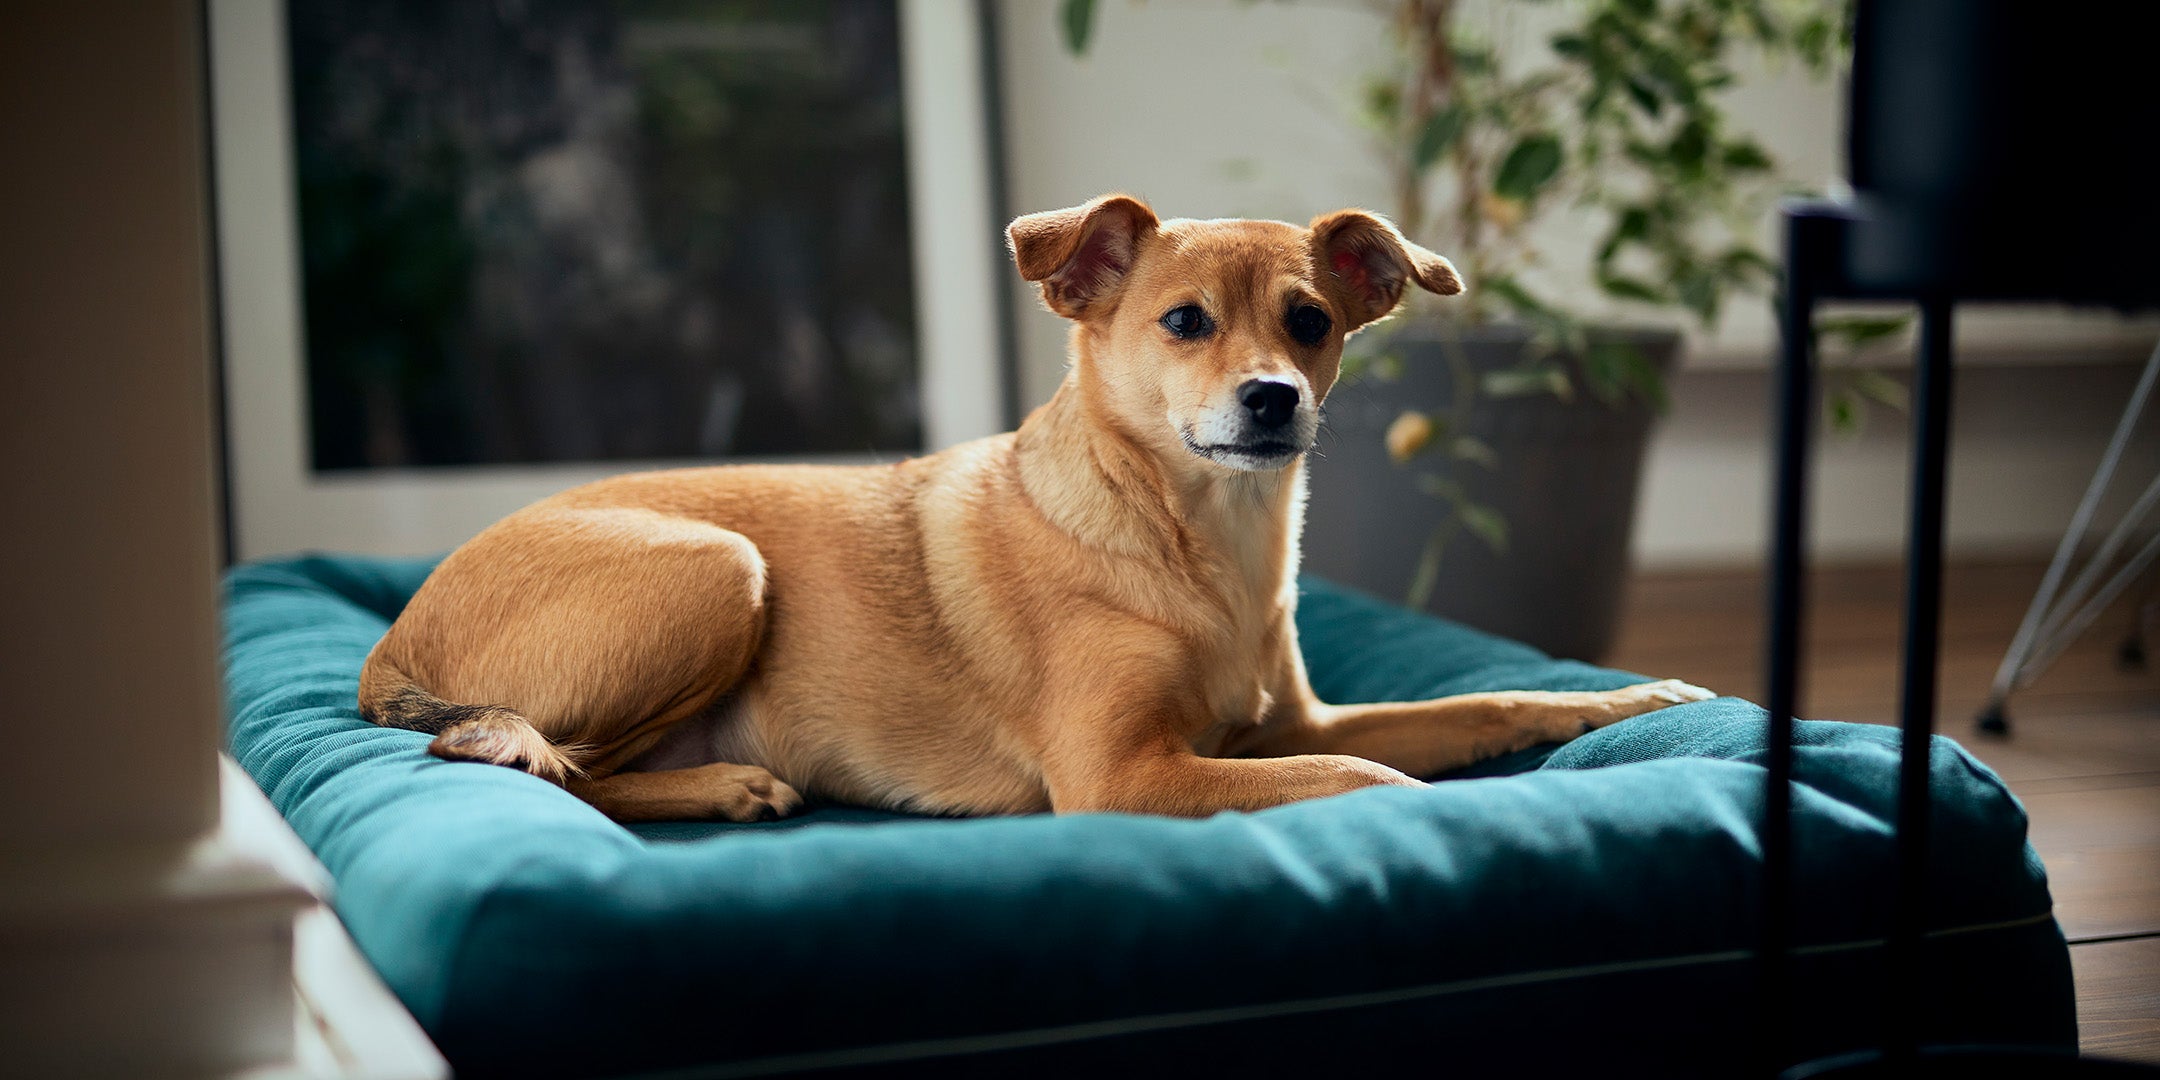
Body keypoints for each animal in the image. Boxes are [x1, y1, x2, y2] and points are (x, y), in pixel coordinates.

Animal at [358, 193, 1713, 822]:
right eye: (1184, 323)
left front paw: (1635, 702)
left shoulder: (1275, 727)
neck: (1199, 542)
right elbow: (1370, 776)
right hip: (720, 568)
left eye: (1312, 321)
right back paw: (723, 789)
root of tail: (387, 645)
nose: (1273, 400)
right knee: (533, 766)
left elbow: (1486, 703)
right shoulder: (1128, 776)